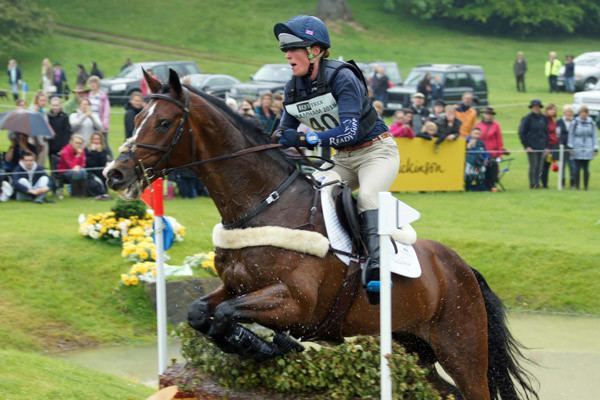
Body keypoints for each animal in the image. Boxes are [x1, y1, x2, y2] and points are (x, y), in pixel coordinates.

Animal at [104, 69, 540, 400]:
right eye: (137, 119)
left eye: (163, 122)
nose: (115, 173)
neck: (263, 205)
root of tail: (465, 269)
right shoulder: (235, 286)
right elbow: (201, 313)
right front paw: (264, 345)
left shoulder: (296, 304)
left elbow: (227, 315)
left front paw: (271, 345)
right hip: (414, 346)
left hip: (462, 348)